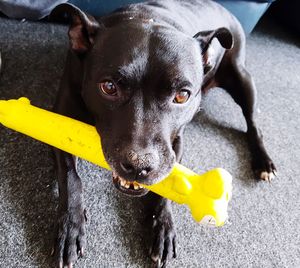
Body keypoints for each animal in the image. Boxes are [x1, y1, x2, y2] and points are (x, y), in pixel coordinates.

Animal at [49, 1, 276, 266]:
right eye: (109, 87)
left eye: (182, 95)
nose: (138, 166)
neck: (147, 18)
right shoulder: (58, 122)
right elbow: (70, 177)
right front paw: (70, 226)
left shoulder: (175, 143)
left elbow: (169, 181)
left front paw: (163, 226)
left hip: (242, 78)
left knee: (253, 122)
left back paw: (263, 161)